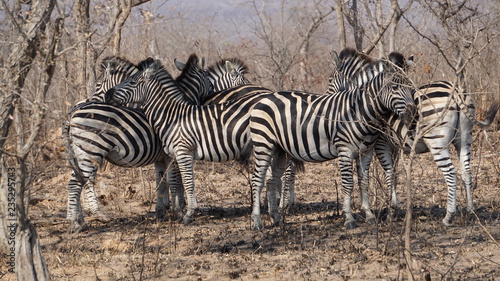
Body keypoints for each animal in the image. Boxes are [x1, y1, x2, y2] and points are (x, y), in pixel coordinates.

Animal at [103, 55, 286, 225]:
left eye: (132, 81)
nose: (107, 95)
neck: (172, 116)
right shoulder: (173, 155)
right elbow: (172, 182)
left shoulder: (182, 152)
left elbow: (186, 182)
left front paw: (187, 214)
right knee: (273, 178)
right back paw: (274, 213)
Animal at [248, 51, 416, 229]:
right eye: (394, 87)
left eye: (411, 87)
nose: (413, 115)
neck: (359, 110)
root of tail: (265, 98)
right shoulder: (345, 150)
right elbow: (348, 184)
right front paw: (348, 218)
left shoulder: (366, 151)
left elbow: (364, 181)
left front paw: (369, 214)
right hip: (263, 145)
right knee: (257, 180)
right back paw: (257, 221)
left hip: (280, 150)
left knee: (271, 179)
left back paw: (276, 217)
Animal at [330, 49, 498, 226]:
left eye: (331, 80)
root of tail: (456, 93)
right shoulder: (395, 145)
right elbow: (394, 174)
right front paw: (394, 207)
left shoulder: (381, 144)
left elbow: (388, 172)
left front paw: (390, 210)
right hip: (464, 138)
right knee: (466, 171)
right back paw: (471, 211)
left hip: (437, 142)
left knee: (451, 173)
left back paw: (448, 216)